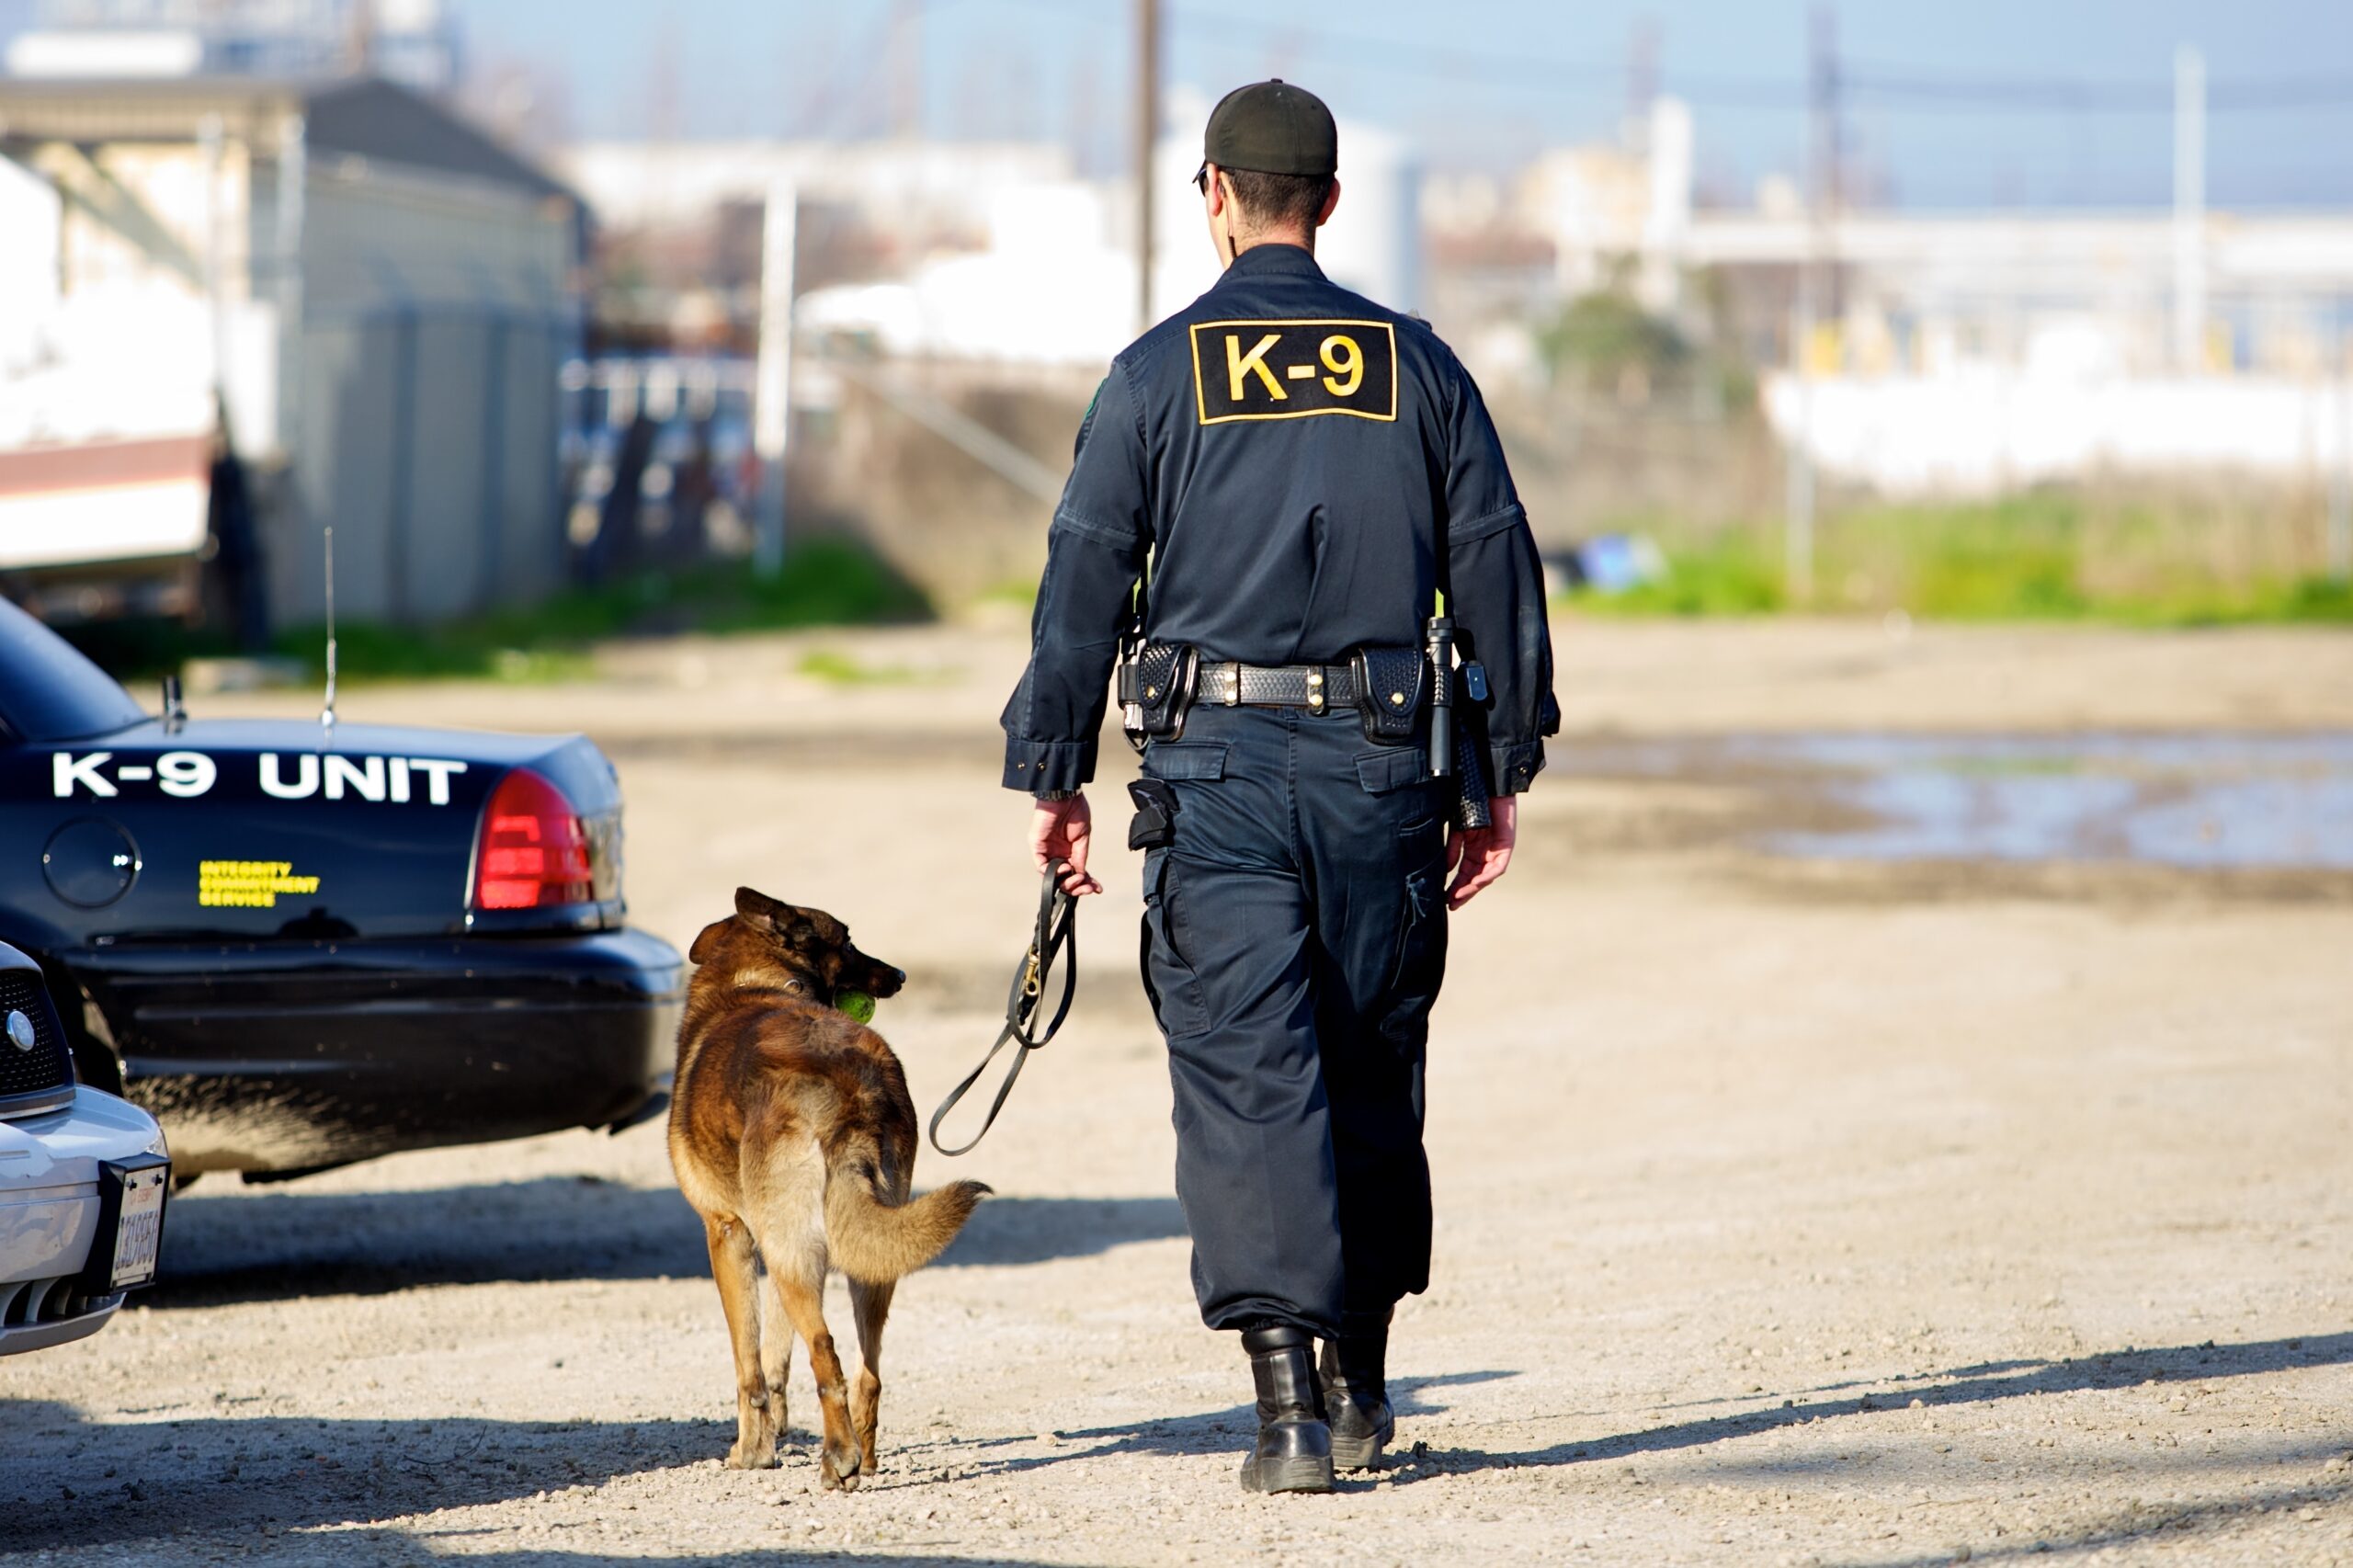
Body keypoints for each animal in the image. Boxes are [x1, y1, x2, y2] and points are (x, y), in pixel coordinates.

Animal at [668, 885, 988, 1487]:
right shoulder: (775, 1245)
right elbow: (774, 1358)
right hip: (860, 1254)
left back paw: (839, 1458)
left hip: (796, 1252)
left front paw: (751, 1452)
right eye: (850, 941)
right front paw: (770, 1437)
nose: (900, 975)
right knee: (869, 1370)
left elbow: (748, 1365)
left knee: (826, 1354)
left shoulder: (729, 1235)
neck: (757, 980)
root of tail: (850, 1083)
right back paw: (863, 1457)